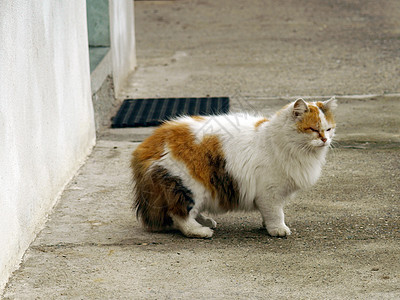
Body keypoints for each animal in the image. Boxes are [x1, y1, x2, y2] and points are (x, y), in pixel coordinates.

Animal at [131, 97, 338, 238]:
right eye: (313, 129)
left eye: (328, 129)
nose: (325, 139)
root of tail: (149, 142)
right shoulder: (270, 193)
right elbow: (276, 214)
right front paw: (278, 229)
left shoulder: (269, 195)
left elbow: (268, 214)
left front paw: (266, 225)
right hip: (189, 186)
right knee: (180, 216)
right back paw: (201, 231)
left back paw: (207, 222)